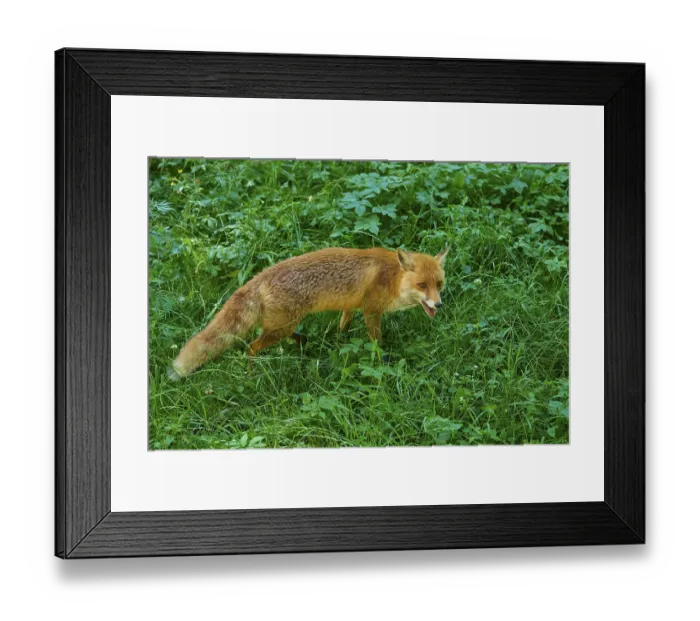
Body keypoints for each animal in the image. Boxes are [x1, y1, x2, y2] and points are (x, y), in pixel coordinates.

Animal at [169, 246, 449, 379]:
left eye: (439, 284)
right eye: (422, 285)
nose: (439, 305)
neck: (391, 278)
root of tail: (260, 277)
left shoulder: (351, 305)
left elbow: (343, 326)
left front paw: (340, 341)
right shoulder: (371, 310)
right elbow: (376, 341)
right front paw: (383, 360)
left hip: (284, 324)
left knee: (281, 336)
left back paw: (304, 341)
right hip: (281, 327)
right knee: (251, 347)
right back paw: (252, 374)